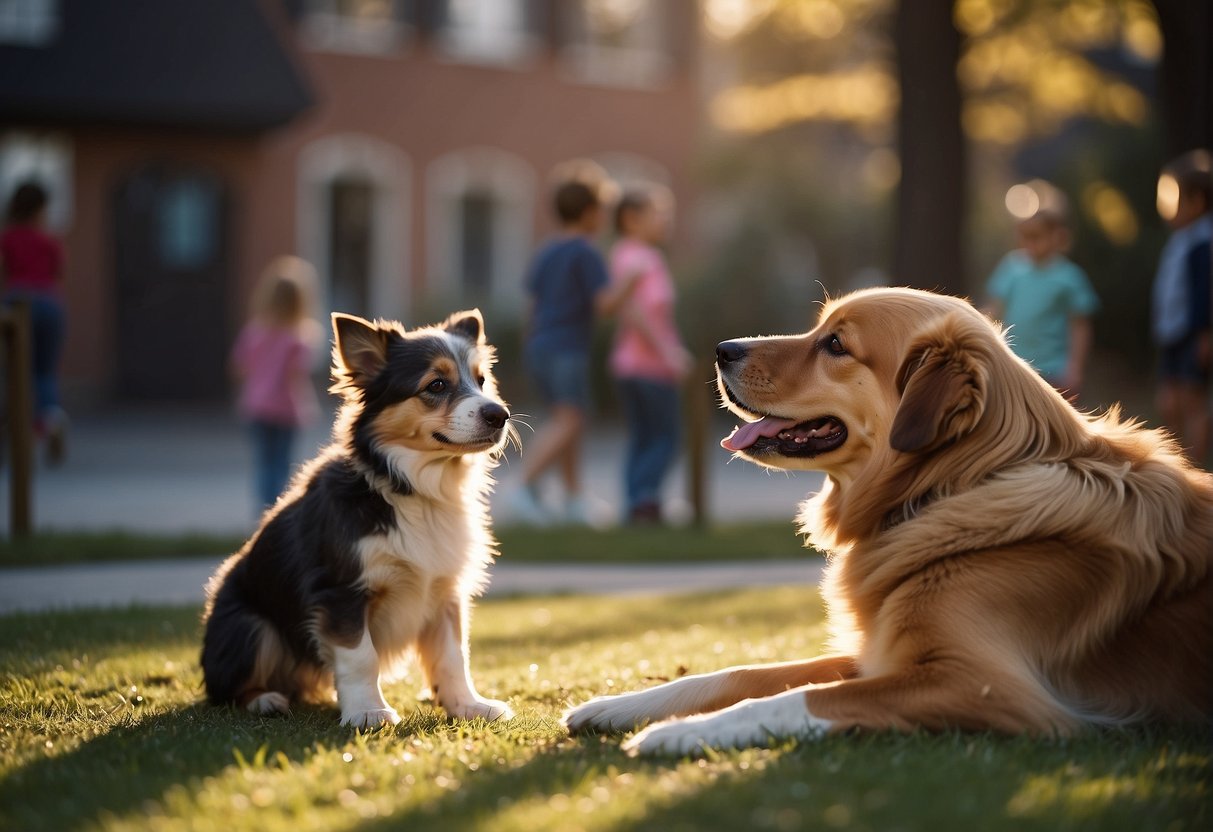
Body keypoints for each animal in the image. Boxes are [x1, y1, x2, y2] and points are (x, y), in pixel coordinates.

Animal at [203, 308, 516, 727]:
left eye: (482, 381)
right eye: (436, 384)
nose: (500, 415)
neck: (412, 489)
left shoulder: (444, 591)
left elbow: (453, 657)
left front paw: (469, 705)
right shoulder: (341, 592)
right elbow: (361, 656)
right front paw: (368, 711)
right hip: (249, 626)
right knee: (226, 690)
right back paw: (264, 699)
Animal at [562, 286, 1208, 756]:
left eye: (835, 344)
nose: (723, 349)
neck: (951, 487)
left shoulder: (986, 685)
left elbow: (803, 699)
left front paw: (677, 733)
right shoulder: (880, 651)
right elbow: (745, 673)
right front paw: (619, 705)